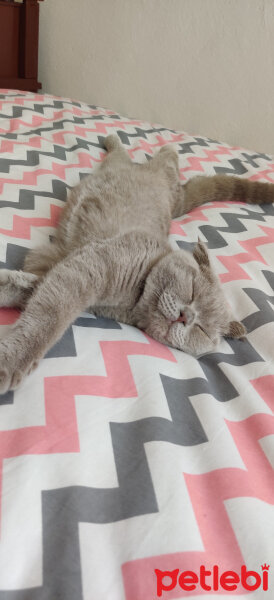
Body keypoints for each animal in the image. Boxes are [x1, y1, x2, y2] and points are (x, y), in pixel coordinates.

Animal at [0, 134, 272, 394]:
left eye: (202, 329)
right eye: (193, 291)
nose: (186, 316)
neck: (134, 301)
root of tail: (177, 198)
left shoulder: (71, 277)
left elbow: (32, 296)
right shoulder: (88, 268)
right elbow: (49, 318)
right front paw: (10, 362)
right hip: (131, 168)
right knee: (152, 155)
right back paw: (129, 141)